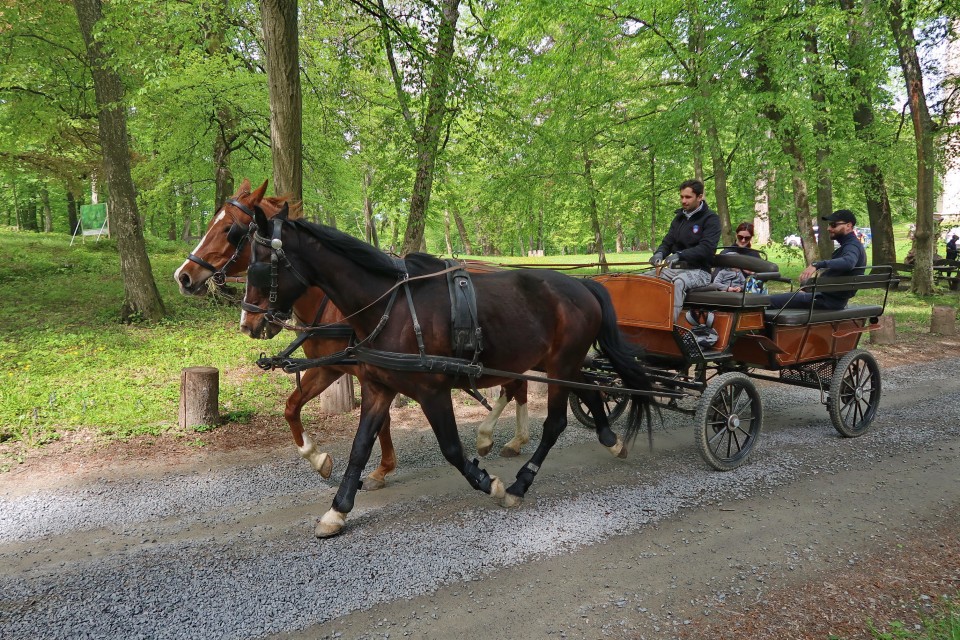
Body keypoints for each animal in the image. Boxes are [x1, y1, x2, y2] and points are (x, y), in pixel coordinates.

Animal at [174, 180, 532, 490]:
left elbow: (381, 421)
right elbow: (292, 406)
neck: (335, 301)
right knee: (517, 386)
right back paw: (508, 437)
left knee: (516, 386)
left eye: (230, 230)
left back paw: (501, 437)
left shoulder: (369, 371)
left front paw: (382, 468)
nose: (184, 276)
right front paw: (318, 459)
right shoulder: (331, 367)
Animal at [239, 204, 652, 536]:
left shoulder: (431, 391)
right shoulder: (378, 387)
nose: (249, 323)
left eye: (256, 265)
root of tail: (584, 285)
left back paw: (521, 482)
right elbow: (359, 448)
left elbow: (452, 449)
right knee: (588, 391)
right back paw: (610, 439)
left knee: (554, 423)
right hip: (559, 363)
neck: (390, 307)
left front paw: (490, 484)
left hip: (560, 363)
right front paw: (337, 510)